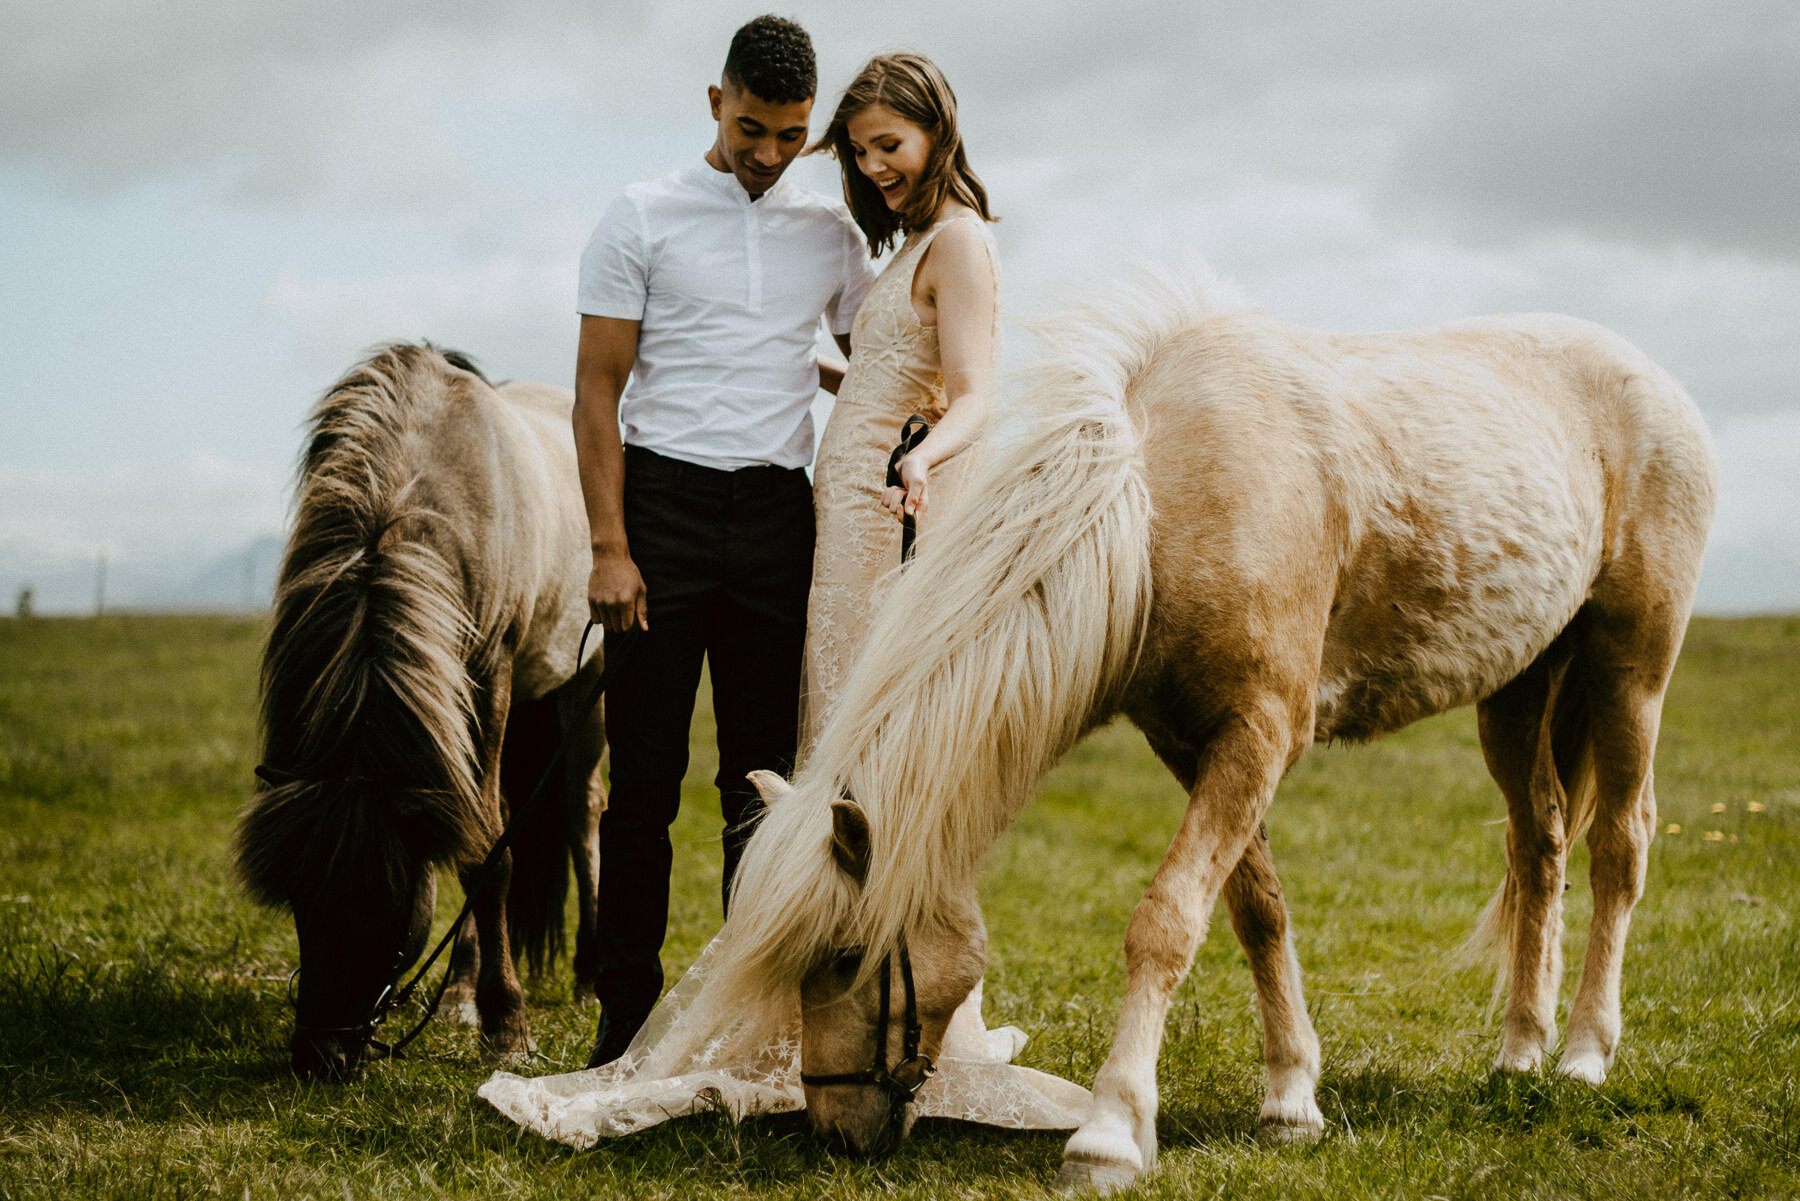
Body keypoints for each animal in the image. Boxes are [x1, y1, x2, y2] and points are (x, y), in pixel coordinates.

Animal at [235, 340, 604, 1080]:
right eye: (299, 902)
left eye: (382, 904)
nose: (319, 1055)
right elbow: (471, 837)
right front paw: (479, 1004)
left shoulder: (490, 672)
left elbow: (490, 854)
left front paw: (509, 1027)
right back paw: (458, 991)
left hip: (588, 679)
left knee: (581, 809)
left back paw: (585, 978)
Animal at [658, 271, 1713, 1195]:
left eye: (844, 958)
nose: (834, 1128)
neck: (1163, 510)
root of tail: (1654, 378)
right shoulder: (1193, 743)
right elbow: (1256, 910)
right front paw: (1290, 1098)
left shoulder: (1259, 735)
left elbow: (1166, 920)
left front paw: (1110, 1131)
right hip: (1518, 691)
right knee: (1538, 848)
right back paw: (1521, 1051)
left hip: (1631, 667)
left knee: (1620, 844)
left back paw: (1583, 1054)